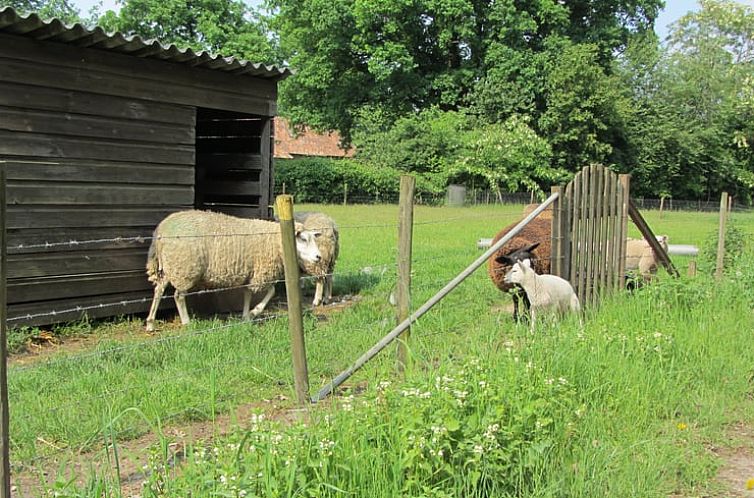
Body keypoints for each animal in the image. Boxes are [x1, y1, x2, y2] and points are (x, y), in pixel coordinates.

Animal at [144, 208, 320, 332]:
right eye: (303, 239)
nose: (319, 257)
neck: (275, 240)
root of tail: (162, 229)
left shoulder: (251, 273)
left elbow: (248, 294)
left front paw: (246, 316)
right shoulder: (260, 273)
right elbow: (272, 291)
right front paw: (255, 312)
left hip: (170, 268)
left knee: (159, 290)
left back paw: (150, 323)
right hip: (185, 269)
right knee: (178, 296)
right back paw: (186, 322)